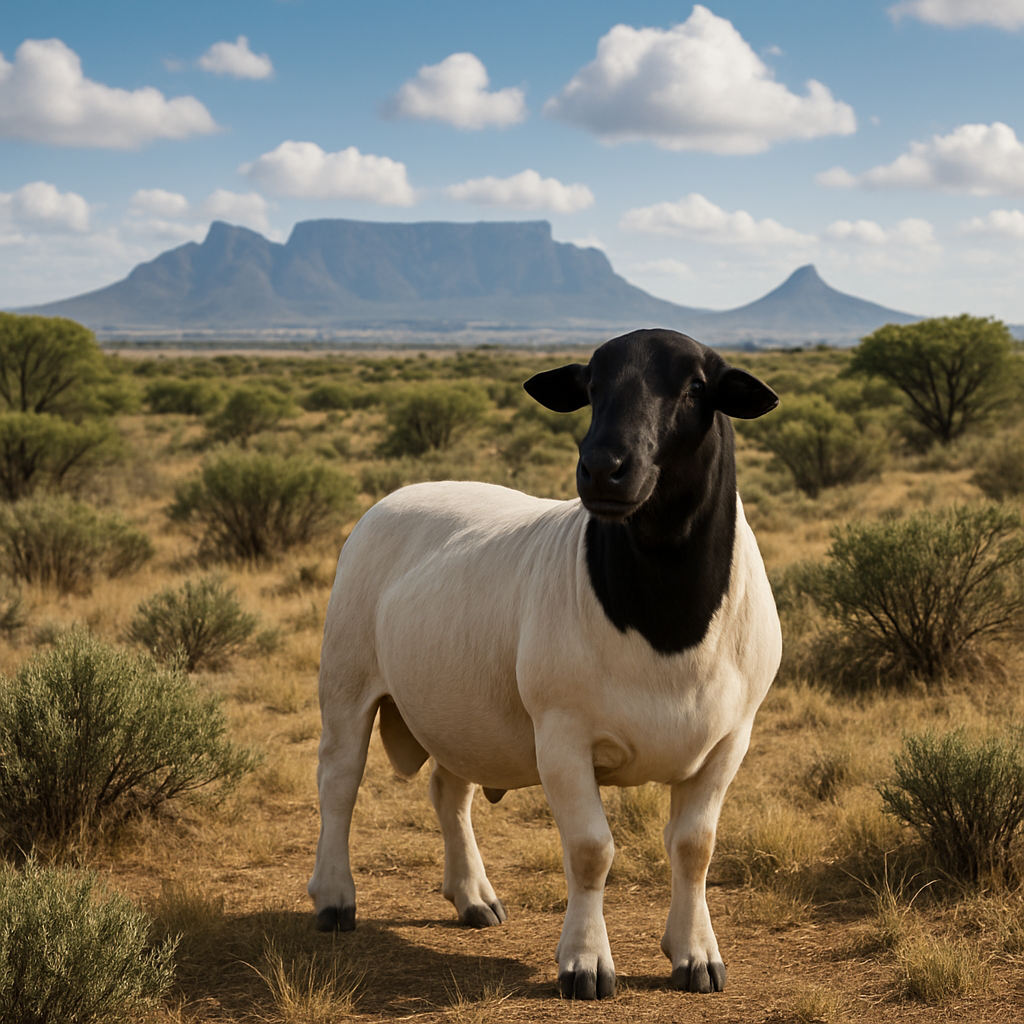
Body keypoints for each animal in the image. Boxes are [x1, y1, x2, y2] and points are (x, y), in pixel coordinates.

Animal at [308, 328, 782, 999]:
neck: (666, 620)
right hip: (346, 680)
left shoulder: (729, 739)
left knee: (449, 792)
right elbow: (590, 850)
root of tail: (403, 492)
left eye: (694, 387)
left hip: (462, 711)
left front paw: (694, 955)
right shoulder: (562, 735)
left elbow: (695, 847)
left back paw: (473, 897)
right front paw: (586, 963)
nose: (603, 467)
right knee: (339, 781)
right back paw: (333, 899)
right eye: (592, 386)